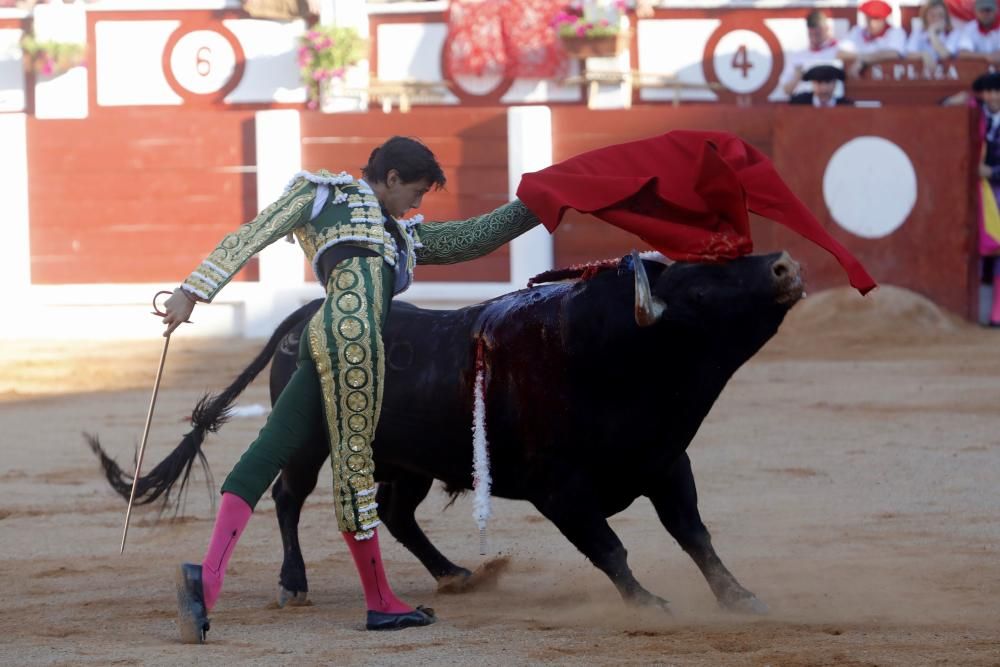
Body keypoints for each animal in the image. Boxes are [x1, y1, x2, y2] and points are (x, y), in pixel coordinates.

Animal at [86, 252, 804, 616]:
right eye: (699, 291)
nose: (783, 263)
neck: (614, 353)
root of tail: (307, 315)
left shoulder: (665, 462)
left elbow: (695, 535)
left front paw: (740, 597)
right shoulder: (560, 489)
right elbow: (611, 548)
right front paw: (649, 604)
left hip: (410, 462)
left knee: (396, 513)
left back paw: (455, 574)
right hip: (313, 444)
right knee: (288, 497)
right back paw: (294, 582)